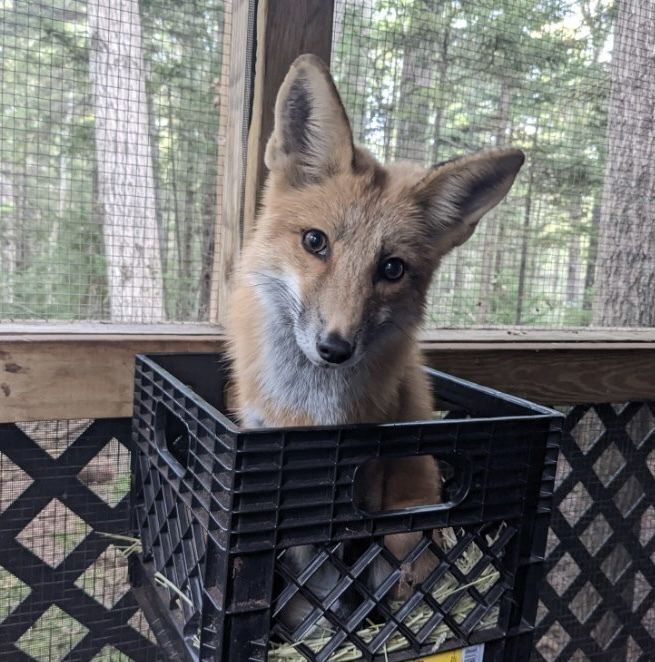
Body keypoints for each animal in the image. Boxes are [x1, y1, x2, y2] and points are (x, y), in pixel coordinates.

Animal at [225, 54, 524, 630]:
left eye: (391, 269)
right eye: (315, 242)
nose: (335, 348)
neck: (309, 411)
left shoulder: (358, 485)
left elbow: (335, 571)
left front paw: (326, 621)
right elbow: (298, 564)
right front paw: (300, 619)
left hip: (406, 529)